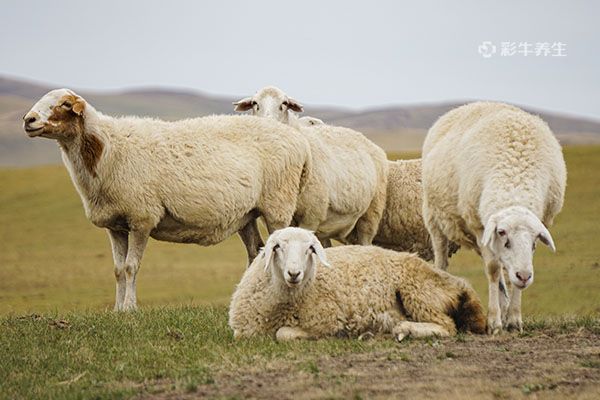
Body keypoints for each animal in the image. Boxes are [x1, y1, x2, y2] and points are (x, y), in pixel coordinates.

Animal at [22, 89, 314, 310]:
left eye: (64, 104)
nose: (28, 119)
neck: (105, 149)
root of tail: (298, 140)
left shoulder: (141, 217)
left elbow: (131, 267)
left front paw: (130, 309)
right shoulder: (115, 225)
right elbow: (117, 269)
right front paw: (117, 310)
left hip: (277, 205)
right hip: (247, 214)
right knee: (256, 253)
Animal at [227, 228, 486, 340]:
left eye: (310, 249)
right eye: (278, 247)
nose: (294, 273)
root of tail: (459, 285)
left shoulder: (328, 320)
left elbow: (284, 333)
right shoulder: (243, 332)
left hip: (417, 291)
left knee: (447, 326)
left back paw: (404, 329)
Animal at [420, 101, 564, 334]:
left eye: (535, 238)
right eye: (502, 232)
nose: (525, 277)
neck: (514, 180)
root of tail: (469, 104)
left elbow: (511, 273)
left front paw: (513, 319)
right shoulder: (480, 227)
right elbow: (493, 270)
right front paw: (494, 322)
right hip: (434, 218)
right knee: (441, 258)